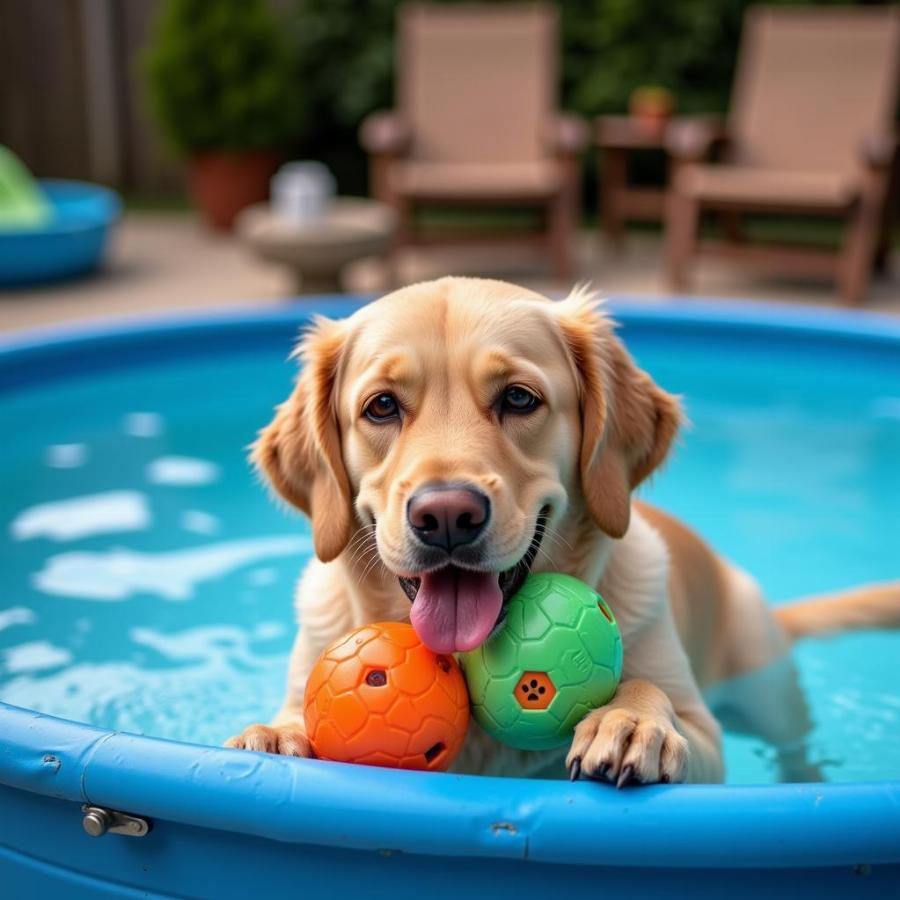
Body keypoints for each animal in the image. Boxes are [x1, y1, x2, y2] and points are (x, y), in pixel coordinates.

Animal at [227, 278, 900, 784]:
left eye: (519, 398)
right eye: (382, 406)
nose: (446, 515)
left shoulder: (707, 739)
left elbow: (655, 696)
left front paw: (632, 721)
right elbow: (290, 719)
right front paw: (278, 734)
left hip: (770, 691)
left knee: (795, 750)